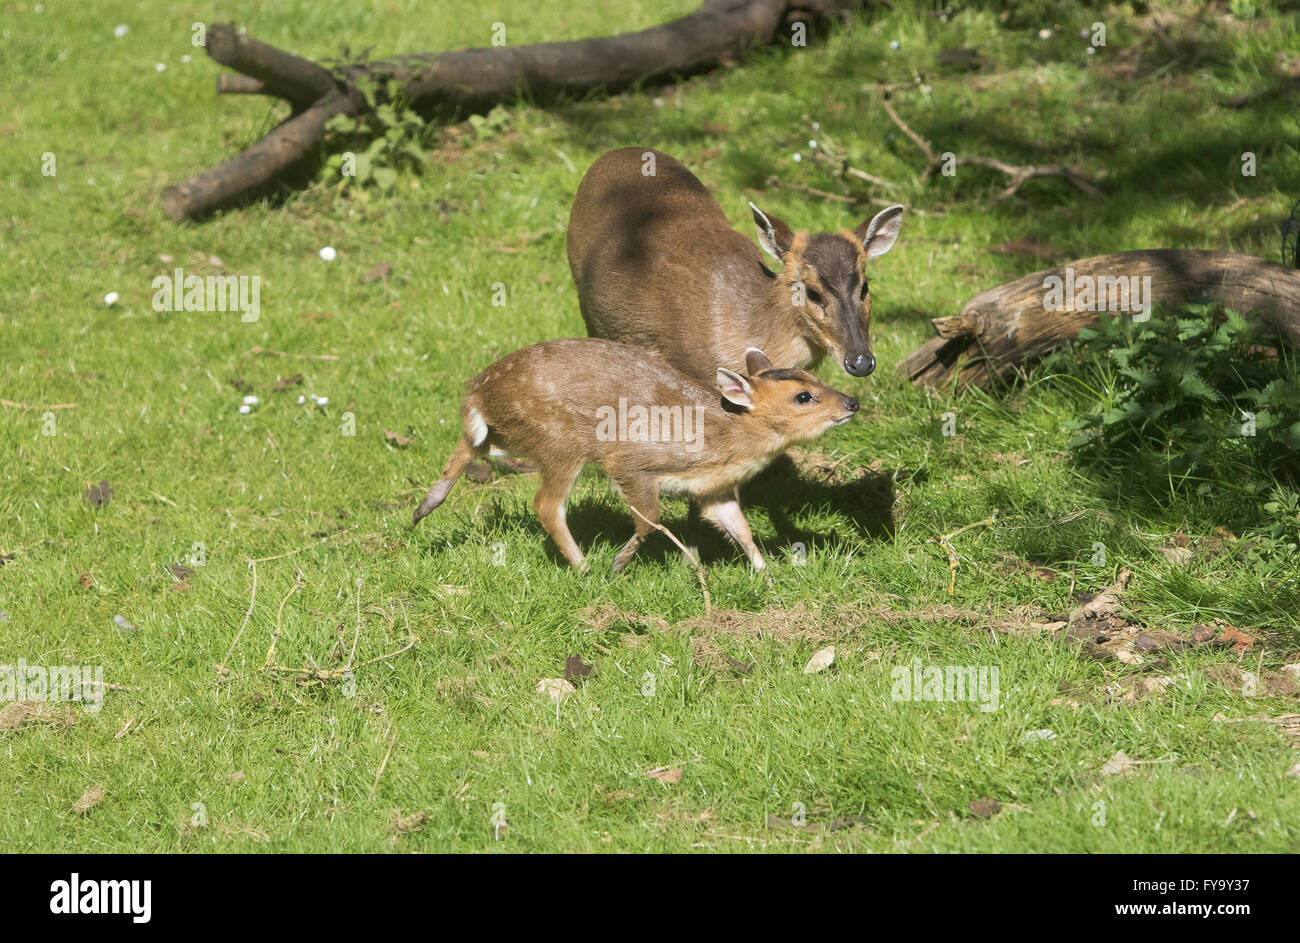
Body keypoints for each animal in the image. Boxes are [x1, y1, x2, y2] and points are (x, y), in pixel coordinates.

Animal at [416, 338, 857, 574]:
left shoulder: (714, 488)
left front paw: (767, 574)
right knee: (546, 504)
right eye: (804, 396)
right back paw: (584, 568)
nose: (852, 402)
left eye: (814, 378)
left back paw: (424, 507)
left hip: (516, 433)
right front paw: (617, 565)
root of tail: (479, 388)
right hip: (563, 440)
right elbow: (650, 520)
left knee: (472, 442)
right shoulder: (633, 463)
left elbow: (740, 528)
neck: (723, 439)